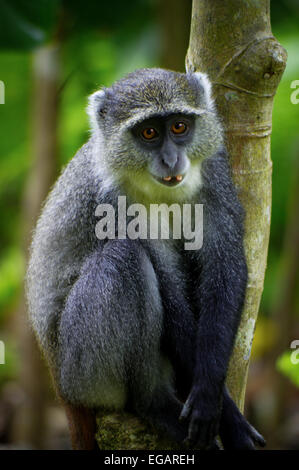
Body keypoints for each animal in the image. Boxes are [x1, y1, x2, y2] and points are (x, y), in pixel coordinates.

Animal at [26, 68, 268, 450]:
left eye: (180, 127)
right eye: (149, 132)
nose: (171, 160)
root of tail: (61, 388)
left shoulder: (215, 167)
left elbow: (225, 263)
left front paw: (209, 394)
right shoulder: (113, 200)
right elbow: (166, 286)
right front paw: (227, 418)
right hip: (82, 370)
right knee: (123, 257)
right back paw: (153, 404)